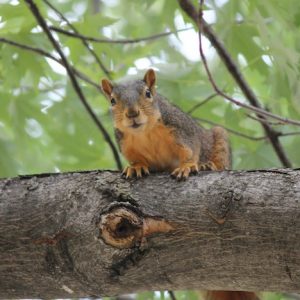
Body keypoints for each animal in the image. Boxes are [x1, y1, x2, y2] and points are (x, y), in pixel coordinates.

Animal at [102, 69, 231, 179]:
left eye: (148, 93)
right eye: (112, 101)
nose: (132, 113)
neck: (145, 132)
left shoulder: (181, 128)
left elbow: (190, 150)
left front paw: (187, 166)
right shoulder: (126, 145)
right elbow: (136, 159)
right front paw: (136, 167)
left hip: (220, 138)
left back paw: (207, 165)